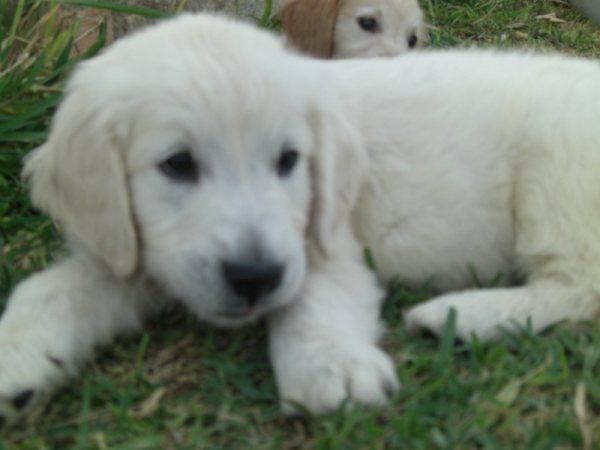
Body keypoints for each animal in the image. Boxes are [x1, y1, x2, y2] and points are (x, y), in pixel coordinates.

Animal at [1, 11, 600, 426]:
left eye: (289, 159)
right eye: (177, 164)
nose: (255, 278)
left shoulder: (329, 238)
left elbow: (312, 294)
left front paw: (330, 367)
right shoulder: (136, 250)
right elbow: (51, 289)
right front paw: (18, 354)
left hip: (556, 171)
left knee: (578, 289)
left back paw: (459, 315)